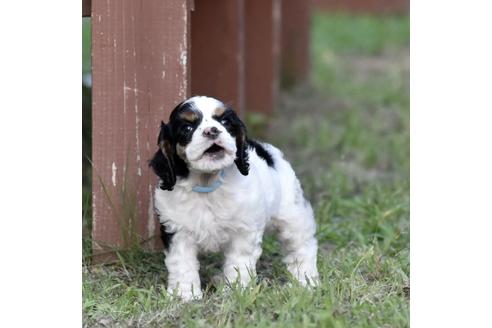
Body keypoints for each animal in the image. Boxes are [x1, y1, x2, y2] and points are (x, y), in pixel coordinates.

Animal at [150, 95, 320, 300]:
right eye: (187, 128)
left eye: (224, 122)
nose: (212, 130)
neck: (207, 184)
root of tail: (267, 149)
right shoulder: (178, 231)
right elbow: (182, 264)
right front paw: (185, 295)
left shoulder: (243, 231)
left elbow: (239, 263)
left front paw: (236, 291)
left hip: (292, 214)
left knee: (302, 245)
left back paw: (305, 281)